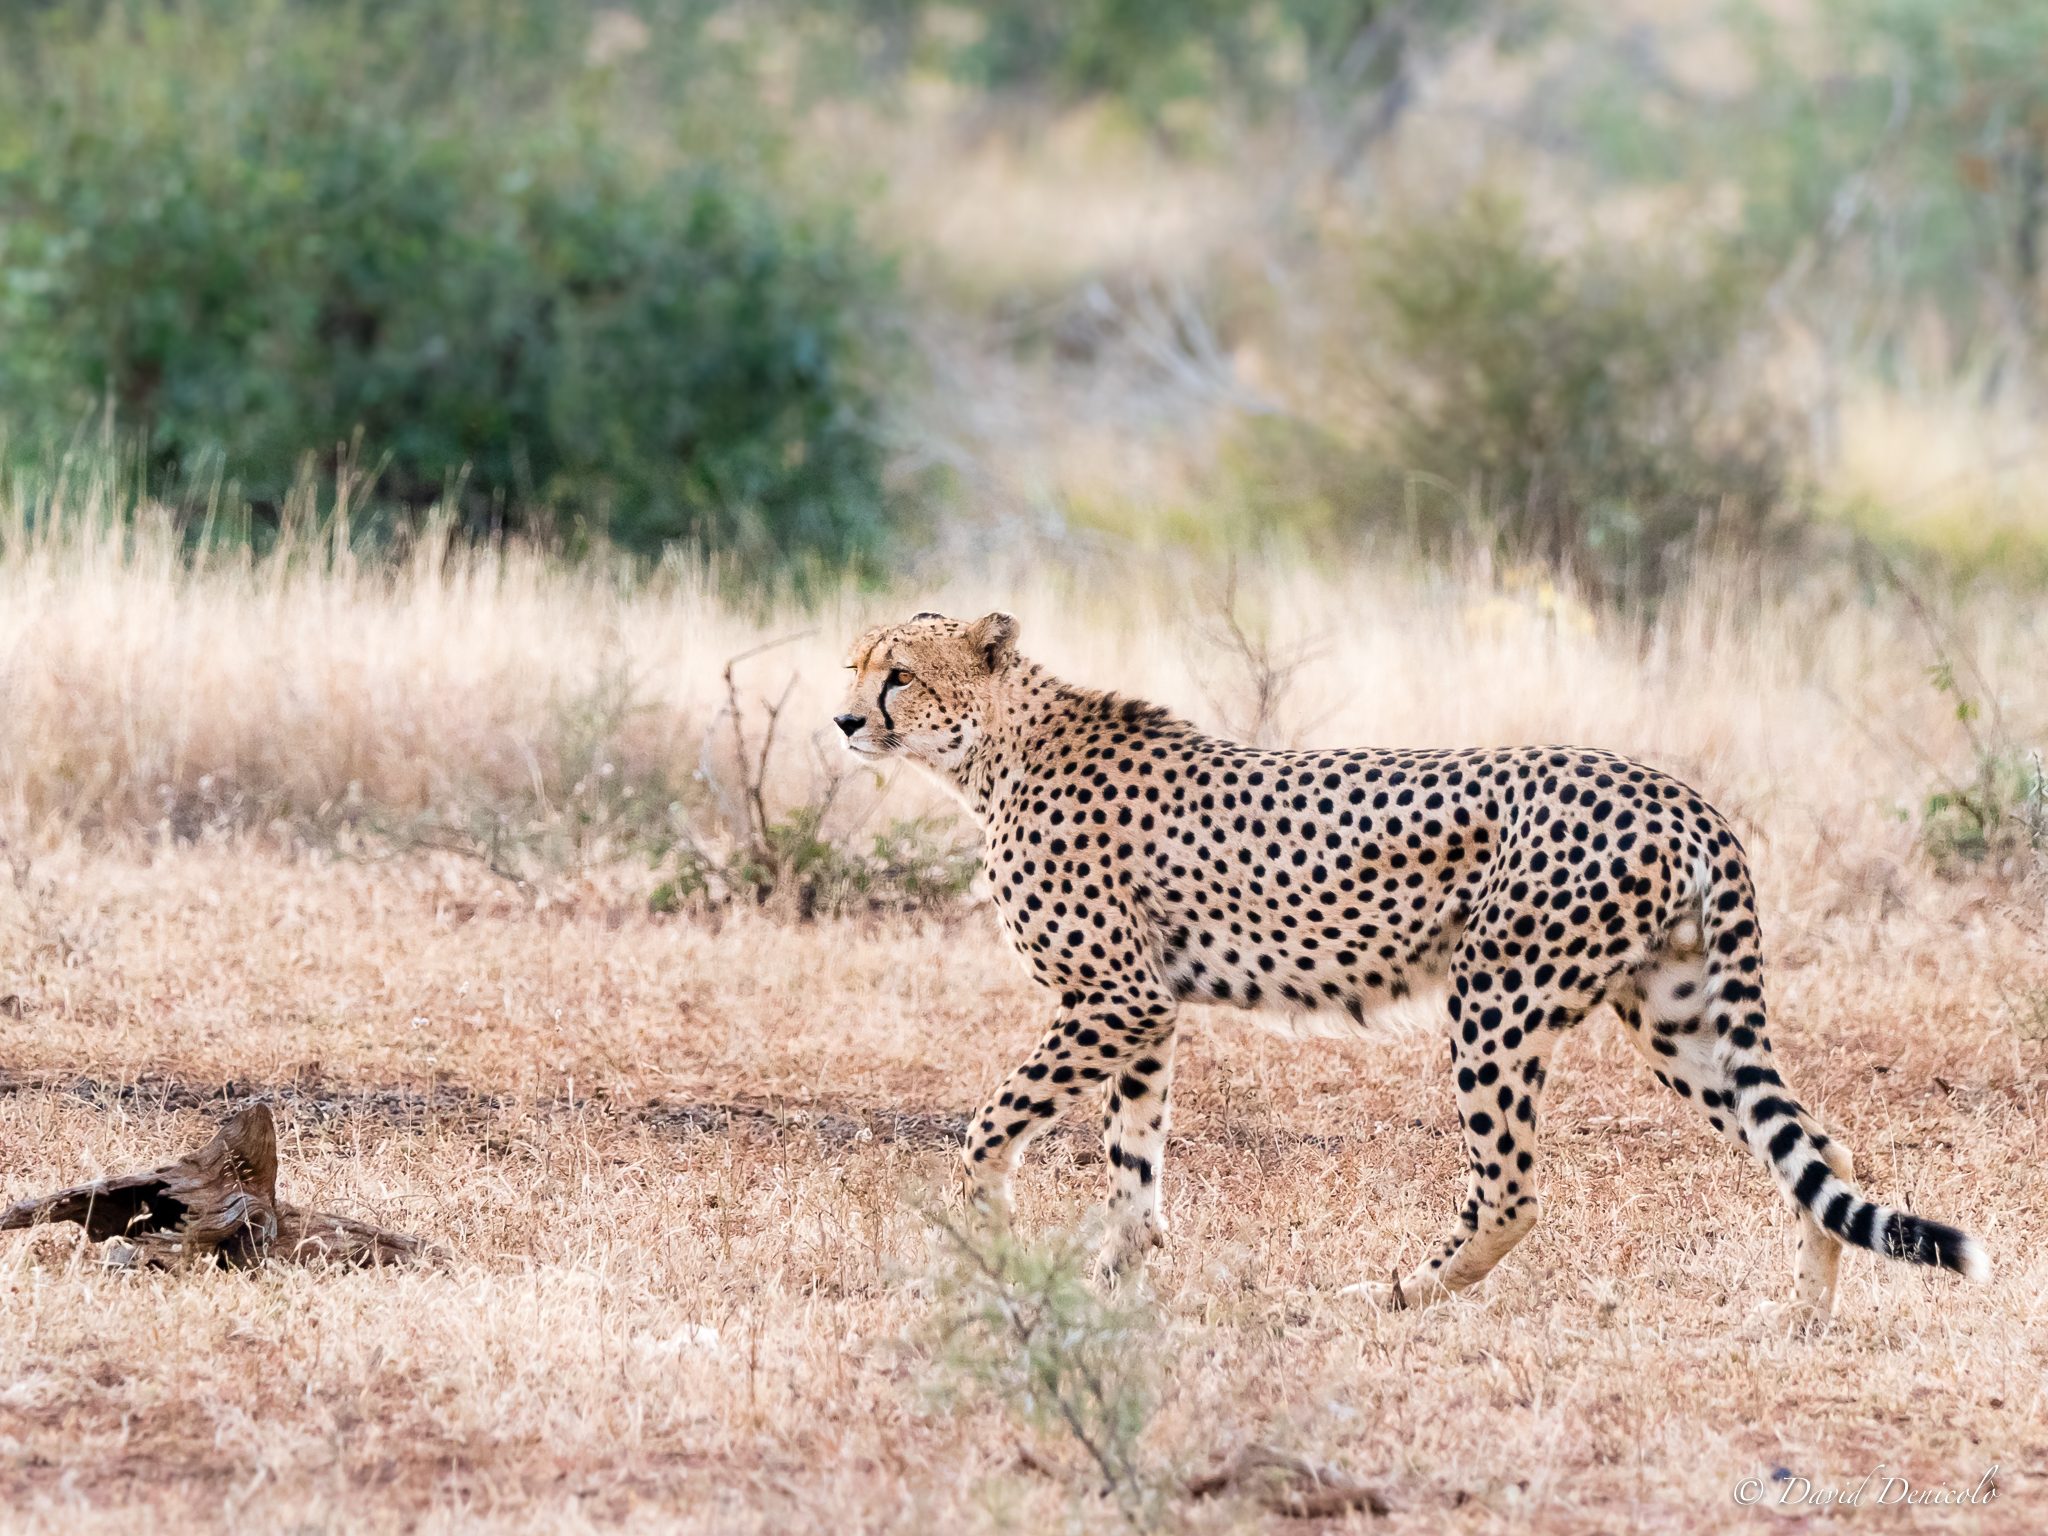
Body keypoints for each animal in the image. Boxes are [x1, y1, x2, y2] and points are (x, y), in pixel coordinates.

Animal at [834, 609, 1989, 1319]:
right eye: (854, 666)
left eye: (900, 676)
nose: (842, 720)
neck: (993, 752)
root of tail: (1673, 790)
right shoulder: (1144, 1010)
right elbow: (1133, 1155)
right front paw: (1116, 1266)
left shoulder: (1111, 998)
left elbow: (992, 1123)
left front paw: (982, 1233)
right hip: (1676, 1014)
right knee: (1819, 1150)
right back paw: (1801, 1317)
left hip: (1497, 997)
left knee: (1510, 1191)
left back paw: (1389, 1295)